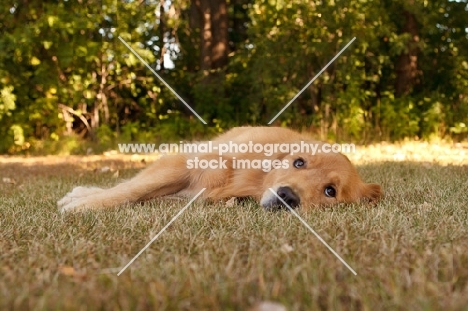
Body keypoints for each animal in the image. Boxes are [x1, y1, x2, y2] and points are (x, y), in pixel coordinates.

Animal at [57, 126, 380, 212]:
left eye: (330, 191)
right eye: (298, 162)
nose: (287, 197)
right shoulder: (184, 164)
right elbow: (130, 190)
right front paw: (83, 205)